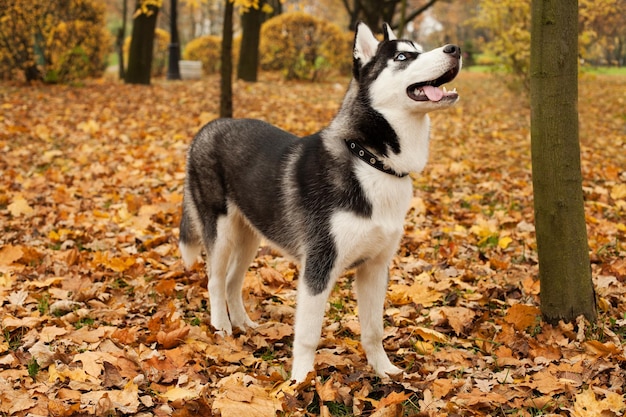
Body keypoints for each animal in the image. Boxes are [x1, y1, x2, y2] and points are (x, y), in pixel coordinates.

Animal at [178, 22, 460, 380]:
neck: (371, 160)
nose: (455, 49)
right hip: (222, 230)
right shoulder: (318, 268)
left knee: (232, 281)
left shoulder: (375, 267)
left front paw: (384, 371)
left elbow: (374, 329)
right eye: (402, 57)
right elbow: (309, 335)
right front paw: (299, 380)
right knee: (215, 280)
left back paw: (243, 323)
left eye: (420, 49)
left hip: (250, 236)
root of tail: (208, 127)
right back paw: (221, 328)